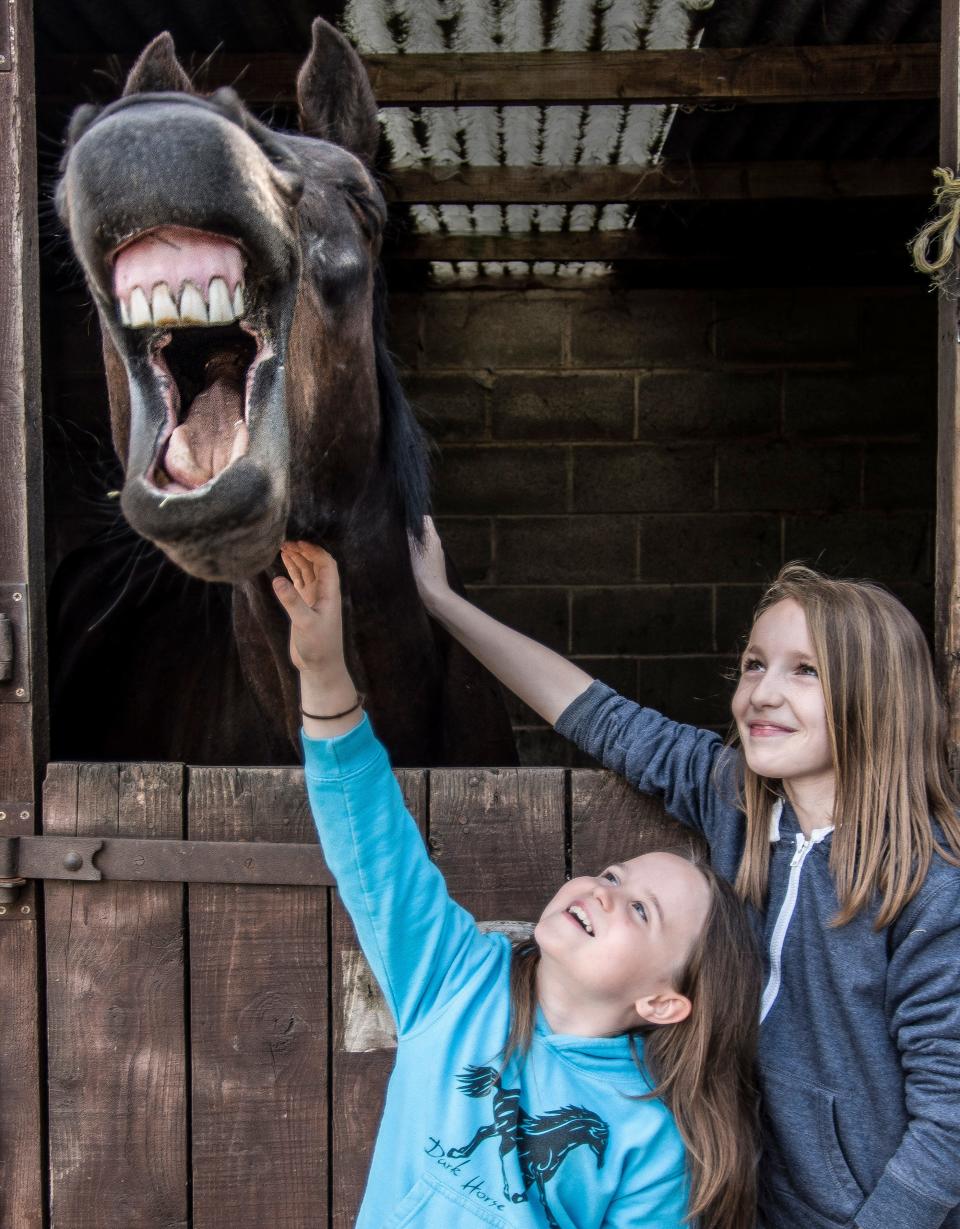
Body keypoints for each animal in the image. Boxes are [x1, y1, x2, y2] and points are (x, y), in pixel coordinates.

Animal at [447, 1061, 607, 1224]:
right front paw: (552, 1220)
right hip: (505, 1133)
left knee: (482, 1132)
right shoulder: (538, 1170)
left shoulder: (537, 1172)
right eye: (602, 1139)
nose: (601, 1163)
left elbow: (530, 1188)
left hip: (499, 1130)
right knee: (498, 1151)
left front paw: (518, 1197)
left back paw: (460, 1153)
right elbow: (542, 1197)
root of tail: (502, 1089)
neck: (558, 1145)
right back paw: (503, 1188)